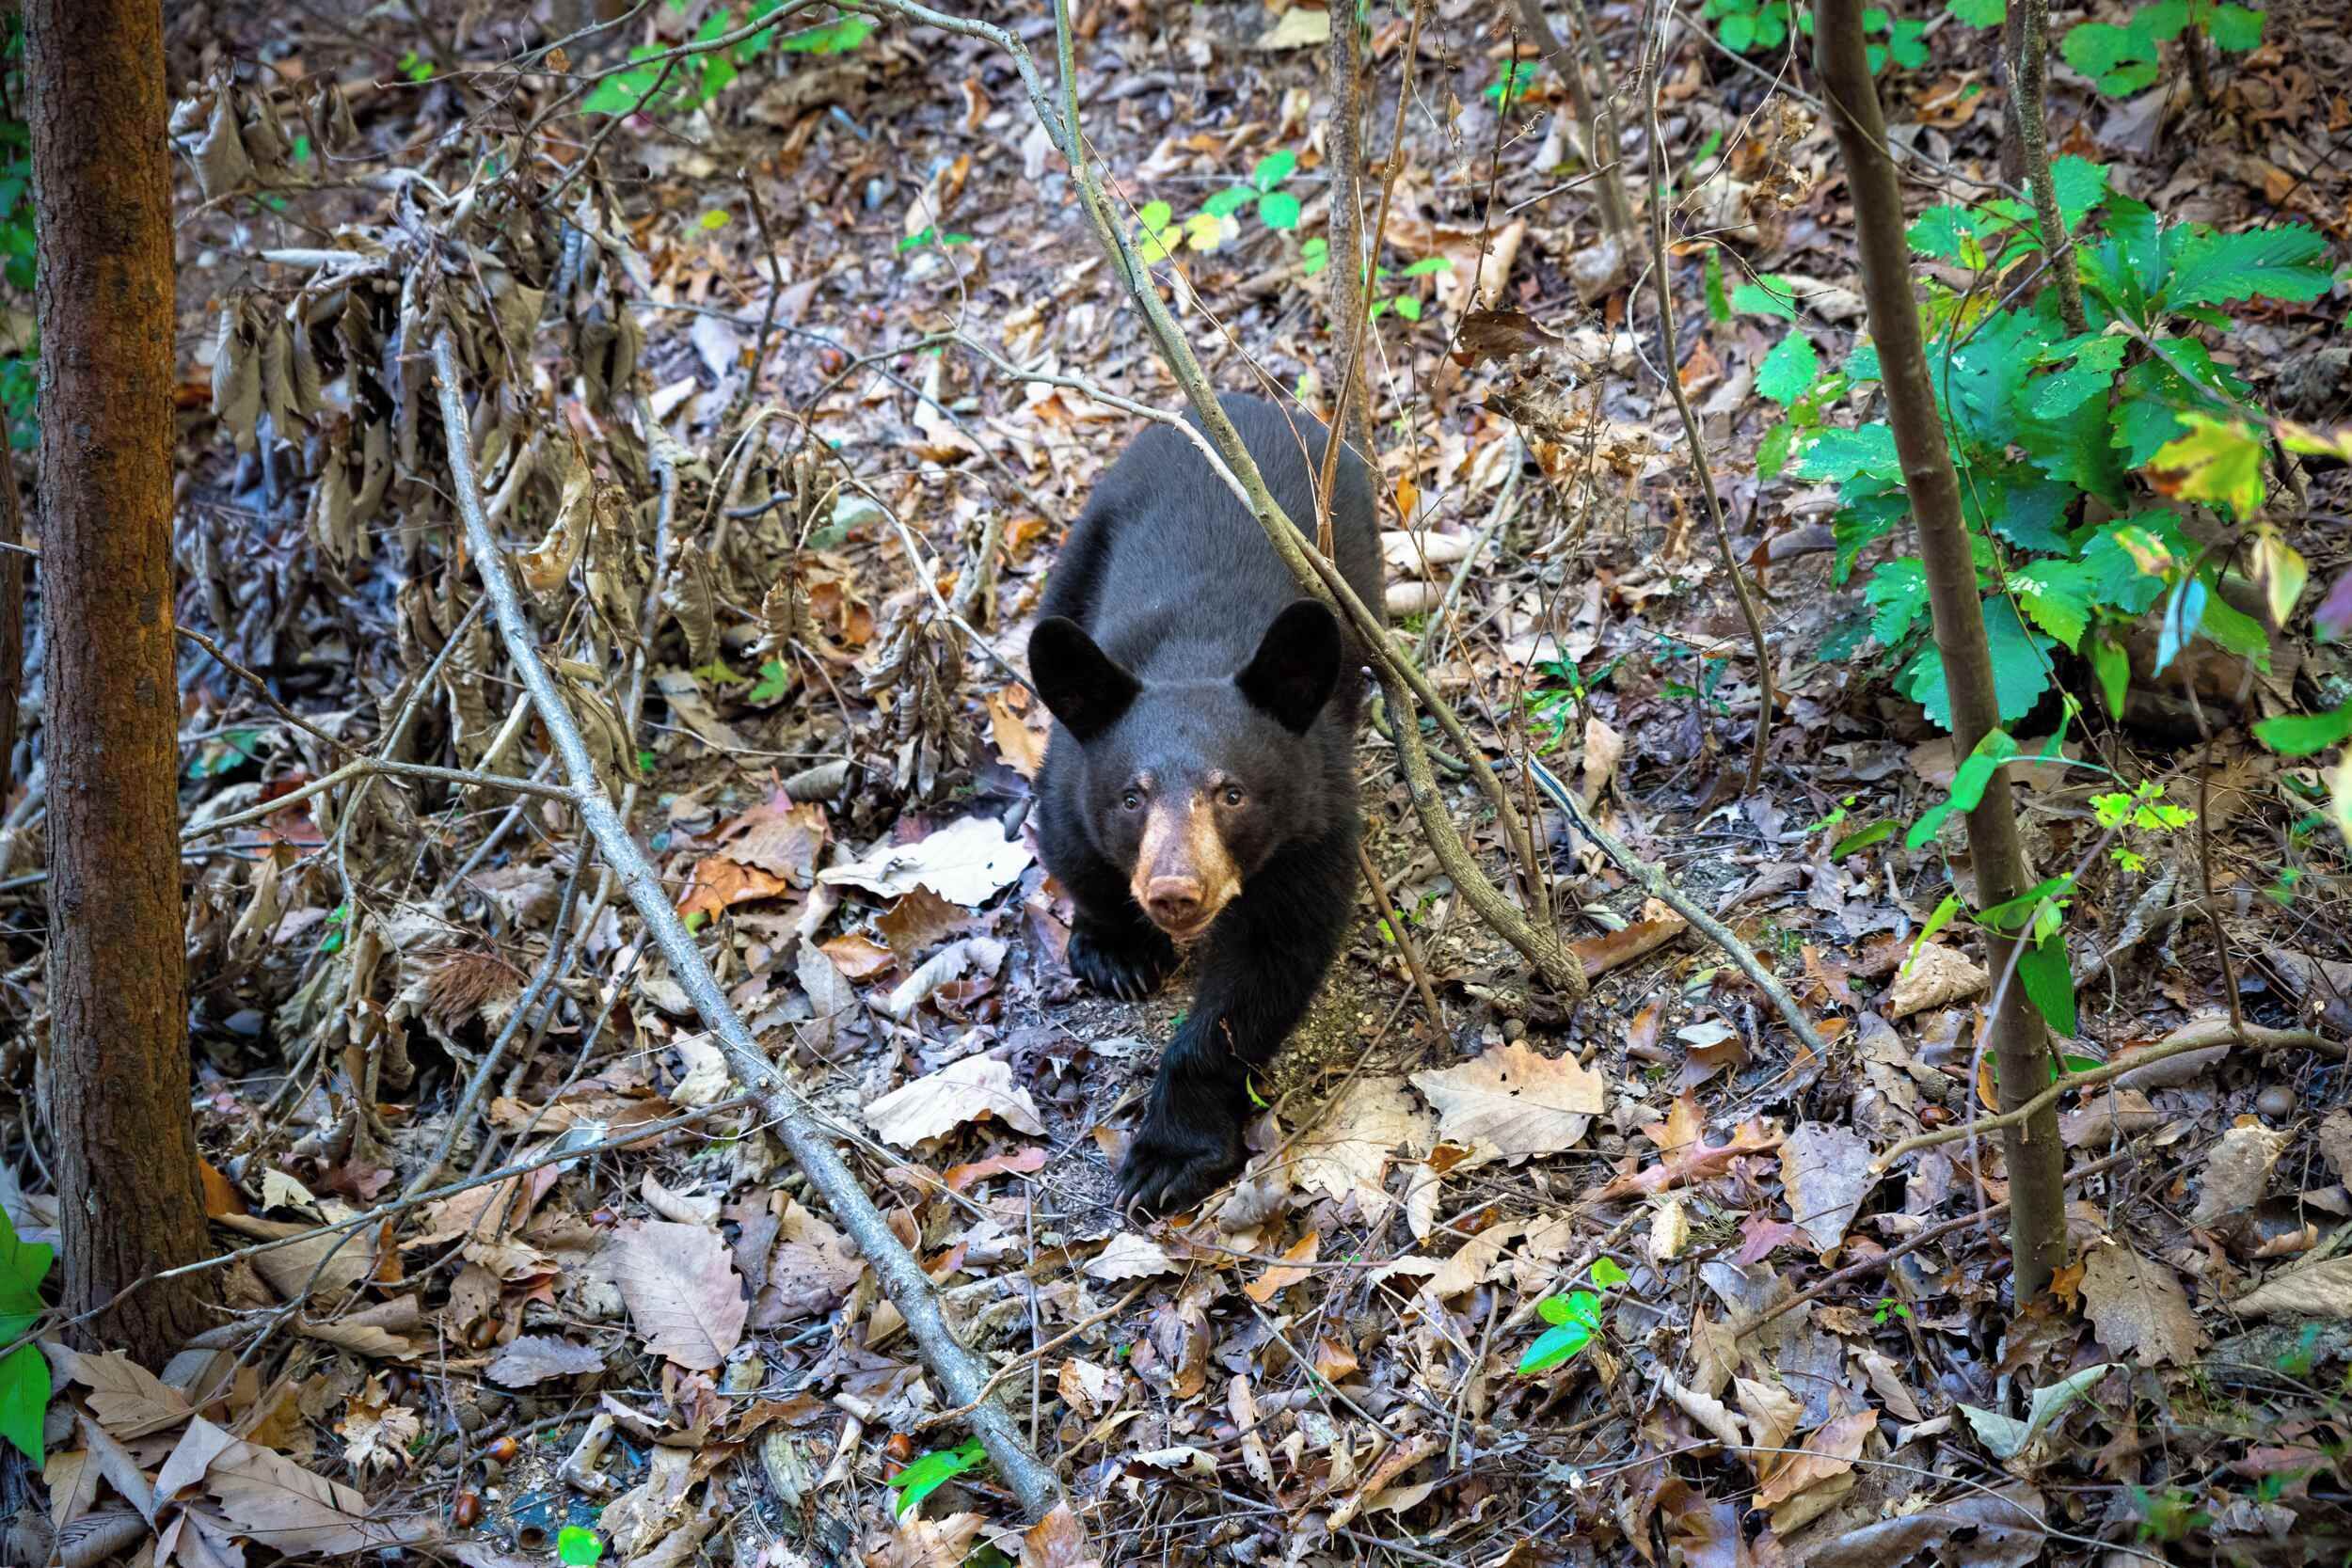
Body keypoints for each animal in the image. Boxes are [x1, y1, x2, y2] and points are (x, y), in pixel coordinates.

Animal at [1026, 393, 1382, 1215]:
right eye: (1131, 796)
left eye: (1233, 793)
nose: (1175, 891)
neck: (1197, 656)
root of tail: (1252, 401)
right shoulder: (1071, 779)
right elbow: (1072, 848)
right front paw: (1119, 954)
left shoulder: (1311, 821)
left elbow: (1267, 963)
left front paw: (1166, 1155)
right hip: (1091, 530)